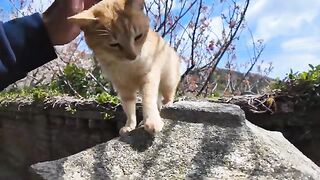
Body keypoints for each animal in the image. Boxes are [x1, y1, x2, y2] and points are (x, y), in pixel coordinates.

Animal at [69, 0, 181, 135]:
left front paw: (152, 121)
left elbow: (148, 99)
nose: (133, 56)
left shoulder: (149, 77)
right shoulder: (123, 87)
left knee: (168, 92)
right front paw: (130, 125)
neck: (127, 66)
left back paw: (167, 103)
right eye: (114, 44)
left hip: (168, 79)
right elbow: (129, 108)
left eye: (138, 36)